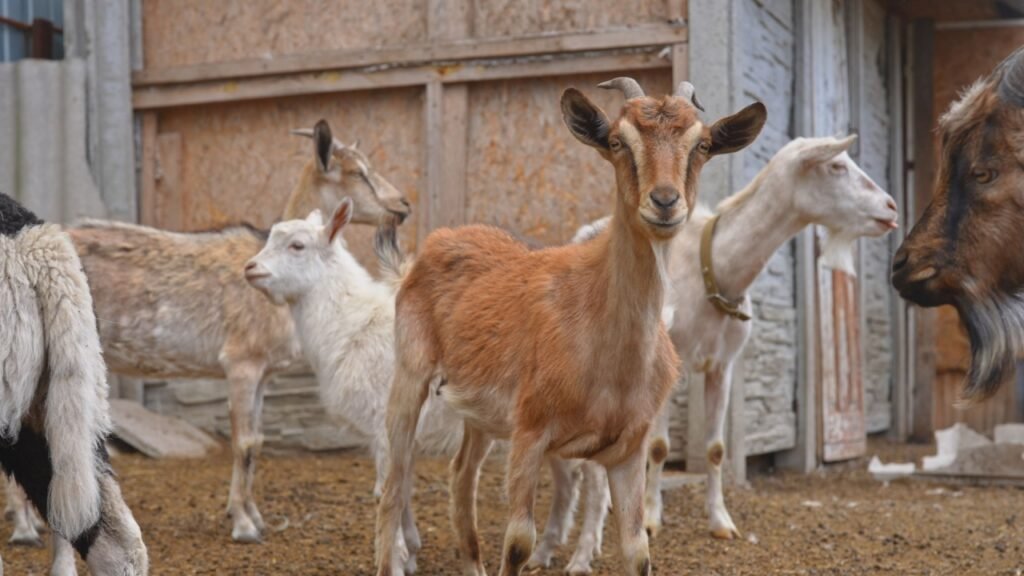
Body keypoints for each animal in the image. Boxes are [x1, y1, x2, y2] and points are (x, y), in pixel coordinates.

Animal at [53, 120, 411, 544]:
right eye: (357, 172)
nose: (403, 205)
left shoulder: (263, 373)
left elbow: (257, 441)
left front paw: (253, 515)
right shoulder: (241, 360)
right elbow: (242, 442)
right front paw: (243, 525)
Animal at [374, 78, 766, 576]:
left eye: (703, 144)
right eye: (618, 141)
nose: (664, 202)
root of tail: (432, 246)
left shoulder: (628, 447)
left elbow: (638, 550)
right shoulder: (530, 431)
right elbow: (518, 543)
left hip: (479, 413)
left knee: (460, 474)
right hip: (410, 376)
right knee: (394, 481)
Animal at [531, 135, 899, 574]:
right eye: (836, 166)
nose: (891, 208)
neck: (715, 268)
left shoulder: (723, 365)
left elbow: (716, 448)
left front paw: (721, 522)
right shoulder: (667, 366)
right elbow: (658, 446)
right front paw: (651, 518)